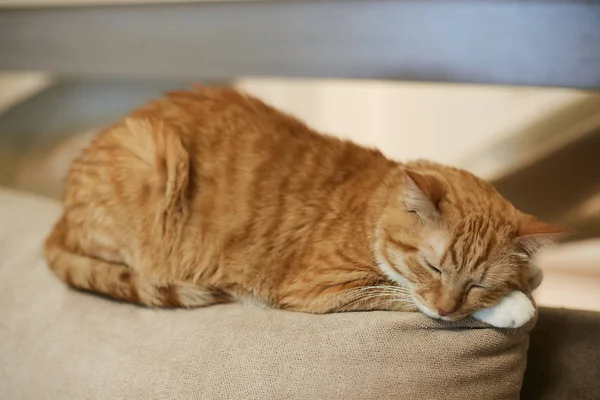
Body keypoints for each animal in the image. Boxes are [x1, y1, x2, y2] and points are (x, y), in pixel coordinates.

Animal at [44, 84, 564, 328]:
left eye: (476, 282)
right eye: (434, 268)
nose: (446, 307)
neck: (371, 208)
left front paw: (526, 275)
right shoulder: (321, 288)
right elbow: (398, 292)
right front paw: (513, 303)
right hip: (150, 155)